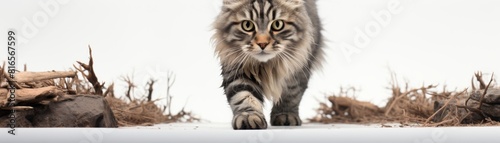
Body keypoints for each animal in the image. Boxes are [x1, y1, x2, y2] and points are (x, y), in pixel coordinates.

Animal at [210, 0, 322, 130]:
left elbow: (290, 96)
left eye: (277, 25)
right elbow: (244, 96)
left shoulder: (296, 71)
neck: (267, 65)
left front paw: (285, 115)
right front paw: (248, 117)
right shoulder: (237, 69)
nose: (262, 44)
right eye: (247, 25)